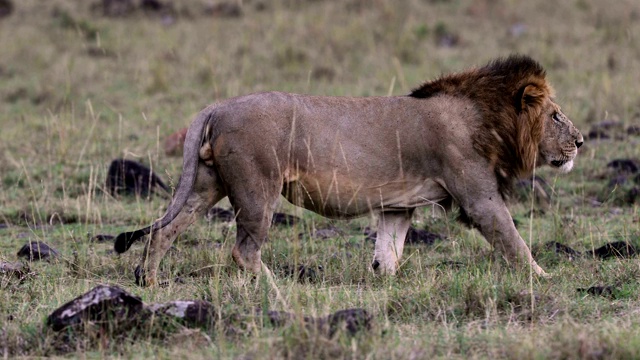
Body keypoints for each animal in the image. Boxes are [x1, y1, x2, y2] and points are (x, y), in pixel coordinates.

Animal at [115, 53, 584, 286]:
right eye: (556, 115)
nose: (580, 141)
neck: (488, 118)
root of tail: (215, 105)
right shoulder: (477, 195)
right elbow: (513, 241)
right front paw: (545, 278)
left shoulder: (398, 205)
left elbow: (388, 252)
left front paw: (385, 283)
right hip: (257, 190)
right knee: (243, 251)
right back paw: (277, 289)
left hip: (205, 183)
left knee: (163, 232)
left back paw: (150, 282)